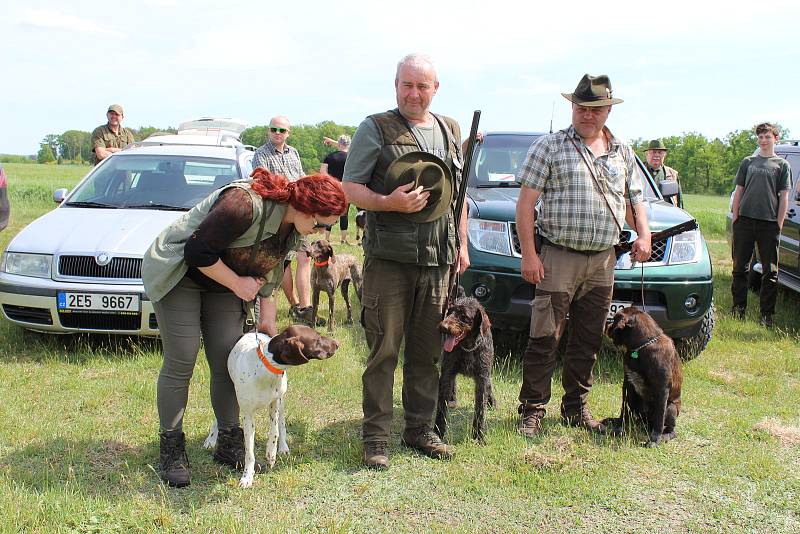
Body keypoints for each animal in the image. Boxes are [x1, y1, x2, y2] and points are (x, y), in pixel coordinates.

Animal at [203, 324, 338, 488]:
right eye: (317, 338)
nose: (337, 344)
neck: (266, 366)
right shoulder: (247, 414)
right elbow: (249, 452)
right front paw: (247, 476)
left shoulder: (275, 403)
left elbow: (274, 432)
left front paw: (271, 454)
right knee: (219, 416)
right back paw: (211, 439)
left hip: (281, 401)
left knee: (282, 424)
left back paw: (283, 447)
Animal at [608, 306, 680, 448]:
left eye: (614, 320)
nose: (607, 327)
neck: (642, 348)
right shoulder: (628, 385)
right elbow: (624, 409)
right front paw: (620, 427)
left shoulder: (662, 390)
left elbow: (659, 418)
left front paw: (655, 439)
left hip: (671, 408)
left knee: (670, 429)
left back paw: (665, 435)